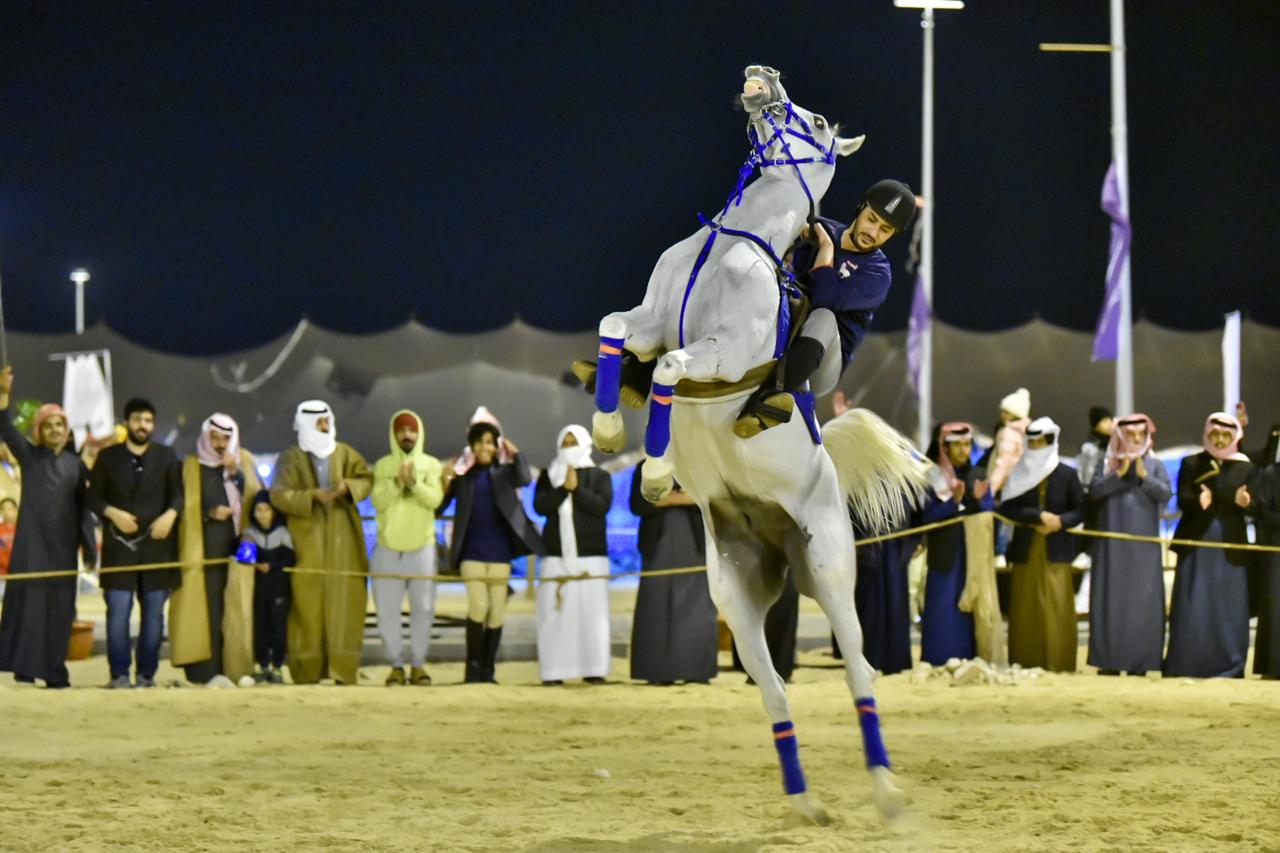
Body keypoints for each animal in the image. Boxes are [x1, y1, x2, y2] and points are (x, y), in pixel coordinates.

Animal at [587, 66, 930, 823]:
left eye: (820, 119)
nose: (763, 77)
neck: (733, 241)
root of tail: (781, 548)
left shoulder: (722, 352)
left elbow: (668, 368)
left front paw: (655, 471)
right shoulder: (649, 318)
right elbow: (616, 328)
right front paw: (607, 425)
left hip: (831, 574)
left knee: (860, 670)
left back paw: (889, 791)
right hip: (738, 600)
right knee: (774, 690)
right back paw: (804, 801)